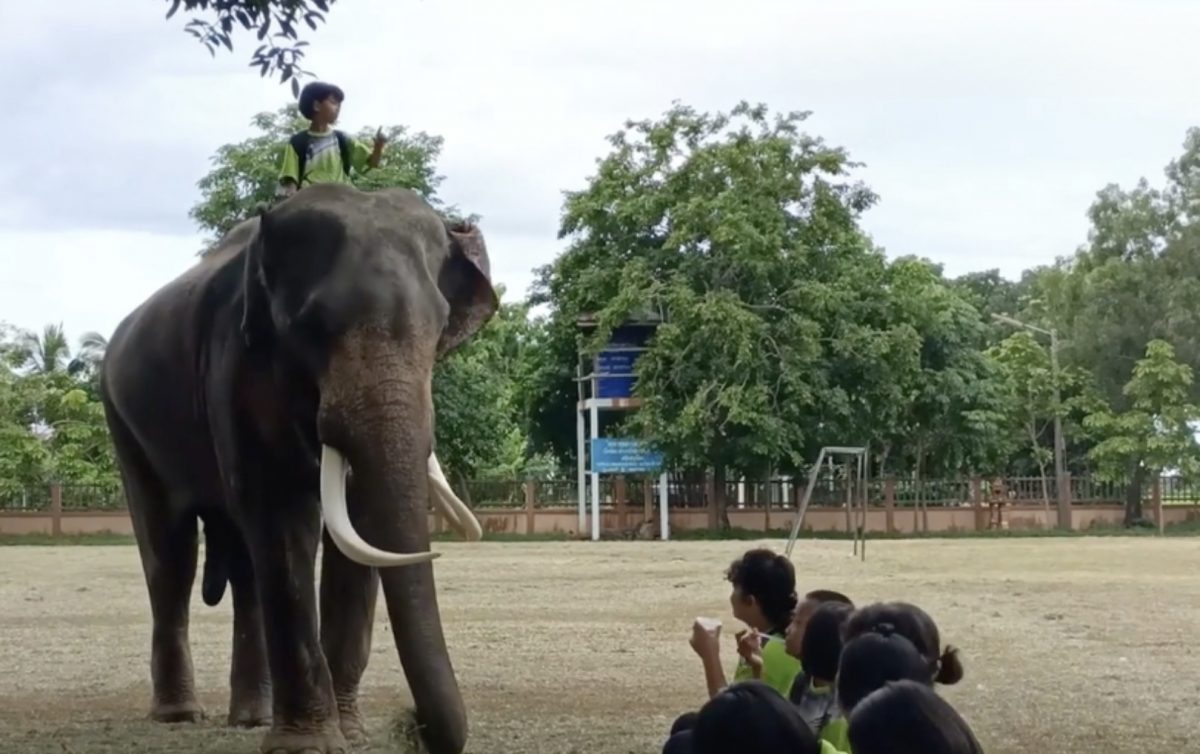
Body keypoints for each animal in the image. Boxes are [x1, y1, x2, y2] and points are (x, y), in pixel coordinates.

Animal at [98, 183, 496, 754]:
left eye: (441, 326)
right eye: (311, 325)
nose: (411, 725)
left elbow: (357, 532)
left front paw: (351, 736)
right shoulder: (236, 367)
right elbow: (283, 518)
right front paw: (309, 745)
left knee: (243, 565)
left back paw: (250, 718)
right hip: (124, 420)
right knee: (170, 554)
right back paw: (179, 716)